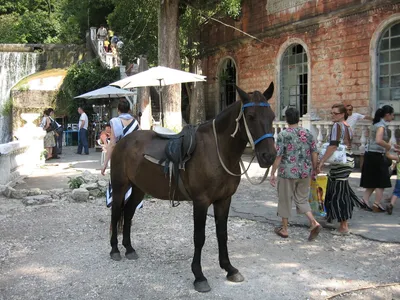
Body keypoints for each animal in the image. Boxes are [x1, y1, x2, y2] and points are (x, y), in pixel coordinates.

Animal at [109, 81, 278, 290]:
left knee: (129, 212)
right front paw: (199, 276)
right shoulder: (201, 202)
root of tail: (123, 141)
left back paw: (129, 248)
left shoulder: (224, 200)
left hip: (139, 188)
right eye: (251, 116)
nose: (268, 156)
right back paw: (115, 249)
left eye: (272, 116)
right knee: (116, 212)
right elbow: (199, 237)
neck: (218, 152)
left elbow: (222, 234)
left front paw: (229, 268)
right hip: (120, 186)